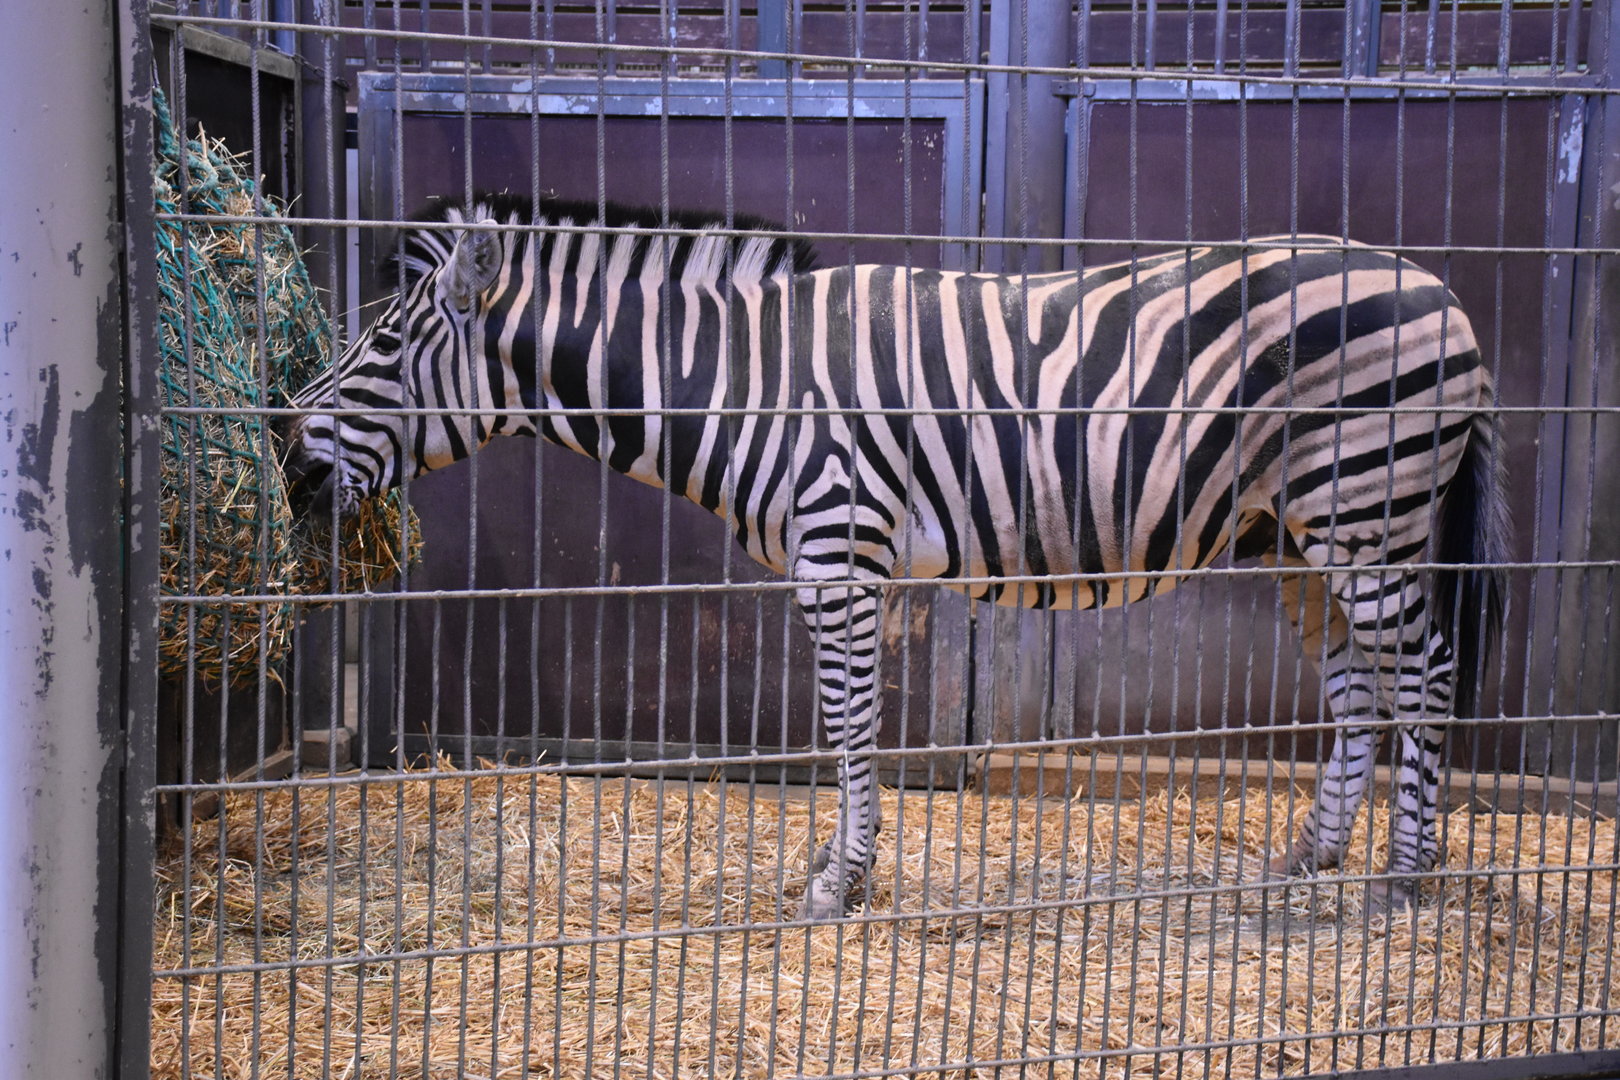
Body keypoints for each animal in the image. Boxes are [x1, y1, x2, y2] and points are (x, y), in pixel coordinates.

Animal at [283, 193, 1507, 921]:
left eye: (381, 344)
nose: (285, 452)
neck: (739, 381)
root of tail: (1446, 292)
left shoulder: (841, 554)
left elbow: (851, 725)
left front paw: (841, 880)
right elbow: (848, 725)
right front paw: (842, 869)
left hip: (1369, 507)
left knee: (1427, 671)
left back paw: (1405, 880)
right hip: (1304, 531)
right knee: (1357, 686)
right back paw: (1312, 860)